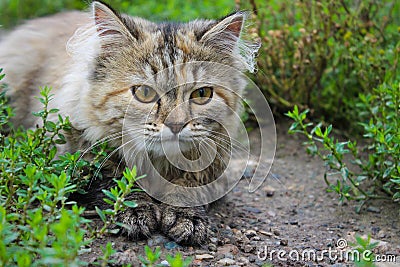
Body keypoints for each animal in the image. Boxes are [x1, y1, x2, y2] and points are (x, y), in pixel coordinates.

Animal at [0, 1, 260, 246]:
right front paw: (135, 212)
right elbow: (117, 181)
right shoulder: (77, 157)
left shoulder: (215, 166)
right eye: (145, 93)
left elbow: (189, 187)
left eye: (201, 94)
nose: (176, 126)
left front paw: (187, 218)